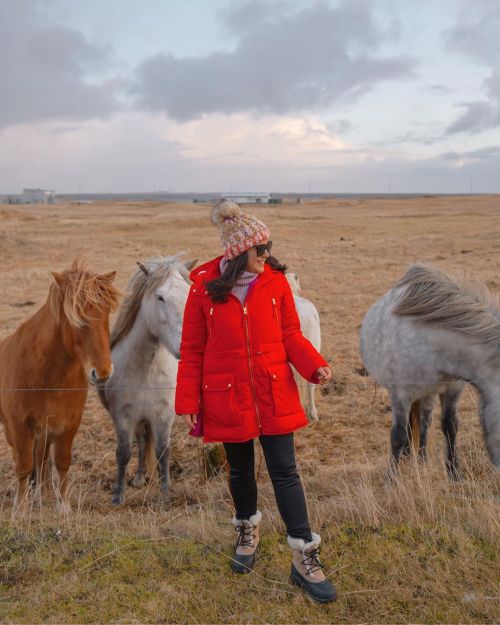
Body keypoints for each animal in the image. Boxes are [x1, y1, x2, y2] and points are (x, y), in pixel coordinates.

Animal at [0, 260, 120, 510]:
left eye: (105, 314)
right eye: (78, 318)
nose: (103, 373)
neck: (48, 374)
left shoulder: (68, 424)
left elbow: (62, 462)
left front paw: (63, 506)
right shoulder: (19, 425)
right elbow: (23, 466)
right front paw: (20, 508)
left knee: (42, 459)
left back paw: (43, 494)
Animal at [97, 256, 193, 504]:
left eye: (189, 293)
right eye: (160, 297)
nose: (186, 346)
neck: (146, 369)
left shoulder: (164, 415)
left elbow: (163, 452)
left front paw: (165, 494)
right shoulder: (123, 416)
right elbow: (123, 453)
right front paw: (118, 495)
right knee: (140, 441)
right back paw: (140, 477)